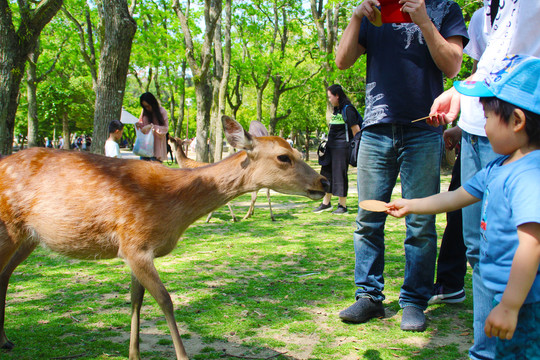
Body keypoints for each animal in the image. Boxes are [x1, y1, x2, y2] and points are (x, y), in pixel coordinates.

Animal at [0, 116, 330, 360]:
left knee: (5, 274)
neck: (173, 206)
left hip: (28, 237)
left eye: (297, 151)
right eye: (283, 157)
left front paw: (133, 354)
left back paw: (5, 339)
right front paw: (182, 356)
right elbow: (166, 300)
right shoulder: (134, 243)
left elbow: (136, 300)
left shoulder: (134, 251)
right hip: (8, 228)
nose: (324, 181)